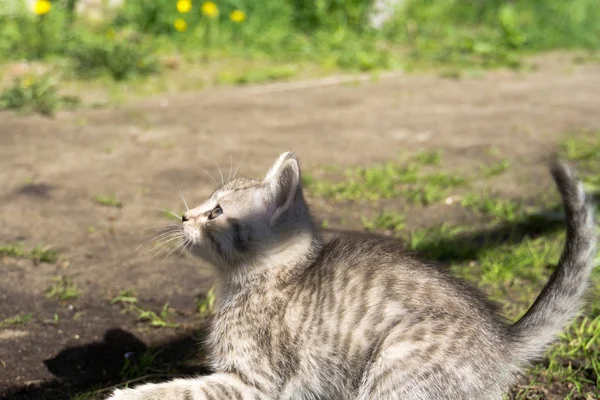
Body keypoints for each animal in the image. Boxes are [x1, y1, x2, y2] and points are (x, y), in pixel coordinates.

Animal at [109, 152, 596, 398]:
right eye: (204, 205)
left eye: (216, 212)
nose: (184, 216)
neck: (253, 281)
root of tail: (501, 339)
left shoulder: (256, 382)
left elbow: (184, 392)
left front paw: (130, 394)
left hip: (395, 368)